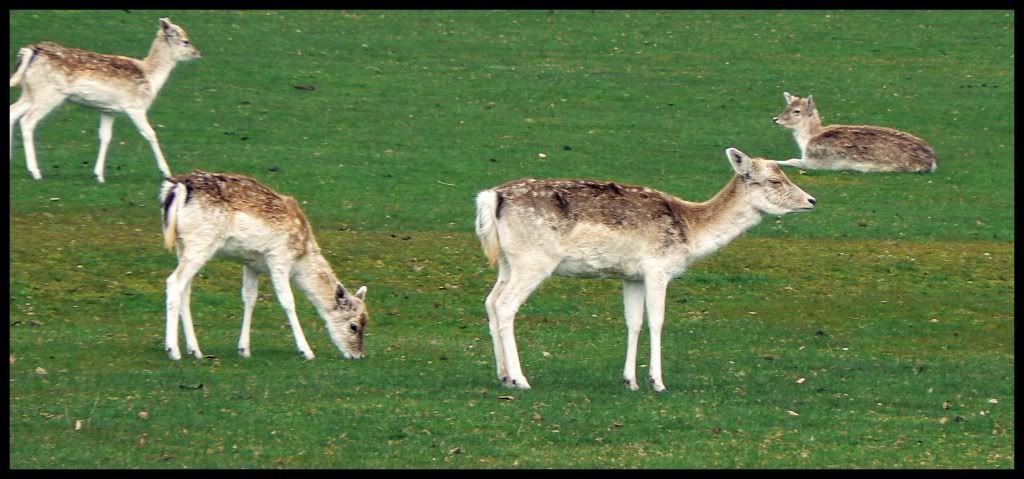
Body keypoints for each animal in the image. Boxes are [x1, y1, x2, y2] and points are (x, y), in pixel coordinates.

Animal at [9, 16, 200, 181]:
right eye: (185, 41)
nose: (198, 53)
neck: (150, 78)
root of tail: (31, 51)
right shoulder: (135, 107)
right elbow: (150, 133)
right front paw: (166, 172)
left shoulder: (109, 110)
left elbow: (105, 137)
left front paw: (99, 175)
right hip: (49, 93)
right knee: (27, 121)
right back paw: (35, 172)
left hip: (29, 91)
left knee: (13, 112)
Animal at [157, 169, 370, 360]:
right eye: (354, 326)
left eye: (366, 321)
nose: (358, 355)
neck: (300, 259)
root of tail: (176, 188)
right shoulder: (278, 258)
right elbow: (288, 301)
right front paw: (307, 351)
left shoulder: (251, 263)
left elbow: (249, 298)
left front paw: (244, 349)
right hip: (202, 242)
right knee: (174, 282)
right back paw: (173, 350)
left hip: (182, 245)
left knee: (185, 290)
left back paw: (195, 350)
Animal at [475, 147, 819, 390]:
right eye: (775, 180)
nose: (811, 200)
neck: (691, 231)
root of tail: (491, 196)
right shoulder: (658, 268)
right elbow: (657, 321)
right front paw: (657, 382)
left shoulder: (633, 276)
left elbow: (634, 322)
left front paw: (630, 380)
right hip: (533, 259)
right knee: (506, 305)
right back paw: (520, 379)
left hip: (506, 261)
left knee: (490, 301)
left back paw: (503, 376)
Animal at [774, 90, 937, 172]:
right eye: (786, 107)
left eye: (796, 111)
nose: (775, 119)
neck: (808, 140)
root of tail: (933, 161)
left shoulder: (818, 162)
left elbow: (793, 161)